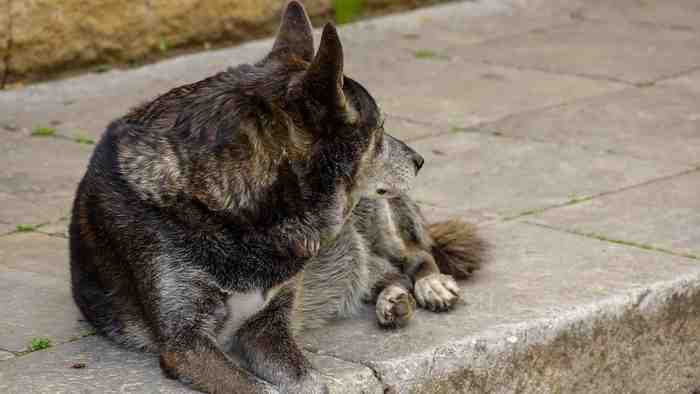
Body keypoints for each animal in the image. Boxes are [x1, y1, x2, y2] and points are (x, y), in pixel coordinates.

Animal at [69, 1, 486, 392]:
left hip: (373, 214)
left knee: (412, 254)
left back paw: (430, 284)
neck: (241, 217)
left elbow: (309, 381)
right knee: (380, 271)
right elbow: (257, 386)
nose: (419, 160)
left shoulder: (267, 328)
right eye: (380, 131)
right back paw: (393, 300)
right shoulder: (187, 344)